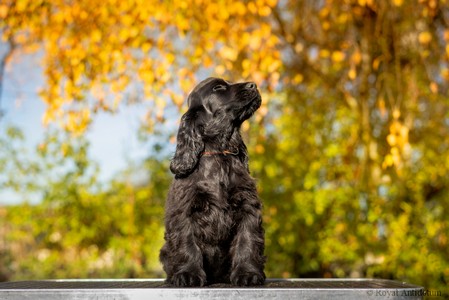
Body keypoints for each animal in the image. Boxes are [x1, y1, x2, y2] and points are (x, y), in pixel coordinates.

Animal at [159, 77, 264, 286]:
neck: (219, 152)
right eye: (218, 87)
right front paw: (188, 274)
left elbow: (247, 240)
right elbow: (187, 243)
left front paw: (248, 274)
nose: (254, 85)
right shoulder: (185, 210)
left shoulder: (247, 205)